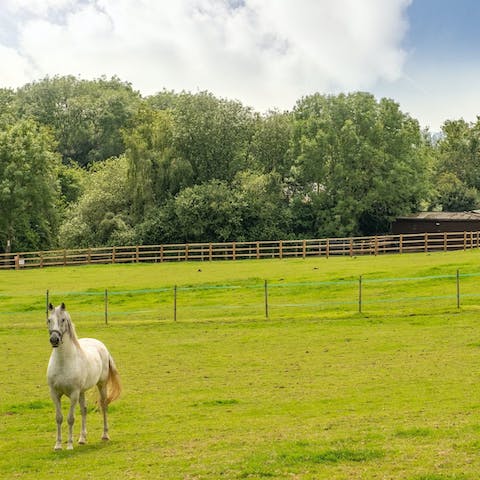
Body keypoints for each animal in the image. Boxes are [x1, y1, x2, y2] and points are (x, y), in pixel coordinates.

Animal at [46, 304, 122, 450]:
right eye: (49, 320)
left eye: (63, 319)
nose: (54, 340)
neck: (63, 362)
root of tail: (101, 346)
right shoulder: (54, 393)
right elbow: (59, 418)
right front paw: (58, 445)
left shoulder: (74, 393)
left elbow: (70, 418)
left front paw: (69, 445)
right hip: (82, 392)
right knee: (84, 410)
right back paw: (82, 438)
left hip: (101, 385)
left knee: (104, 405)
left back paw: (105, 435)